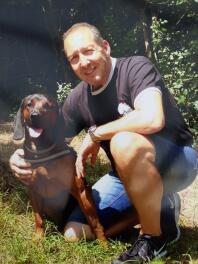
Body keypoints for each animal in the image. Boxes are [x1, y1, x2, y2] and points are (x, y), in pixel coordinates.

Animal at [12, 93, 106, 241]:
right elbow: (38, 219)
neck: (41, 149)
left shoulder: (81, 190)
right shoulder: (32, 189)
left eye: (48, 106)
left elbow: (95, 223)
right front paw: (38, 238)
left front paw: (104, 244)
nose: (35, 115)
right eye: (29, 104)